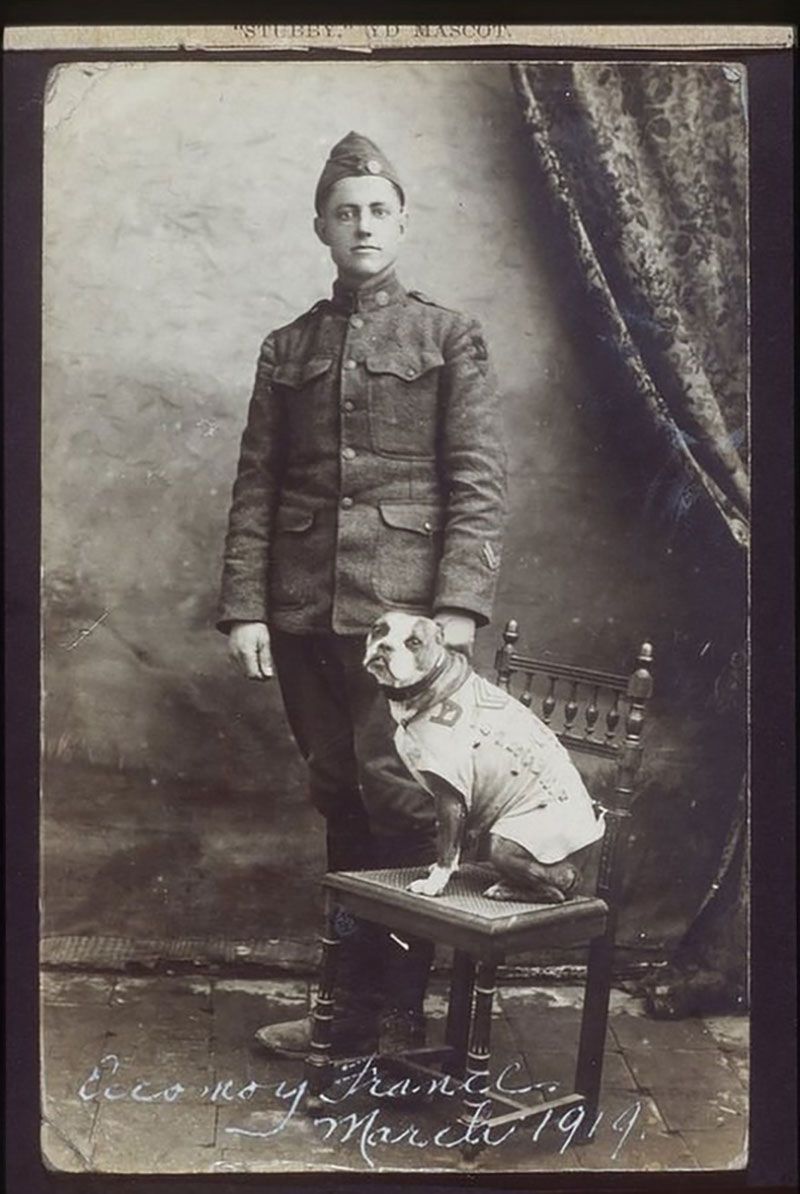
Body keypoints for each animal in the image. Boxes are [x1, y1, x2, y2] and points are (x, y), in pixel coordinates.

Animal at [362, 611, 601, 897]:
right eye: (379, 630)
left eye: (414, 642)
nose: (384, 647)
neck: (434, 684)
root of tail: (580, 867)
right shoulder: (461, 801)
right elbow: (454, 842)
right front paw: (446, 872)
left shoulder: (450, 796)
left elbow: (447, 844)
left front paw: (434, 885)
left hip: (504, 844)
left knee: (554, 891)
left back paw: (504, 890)